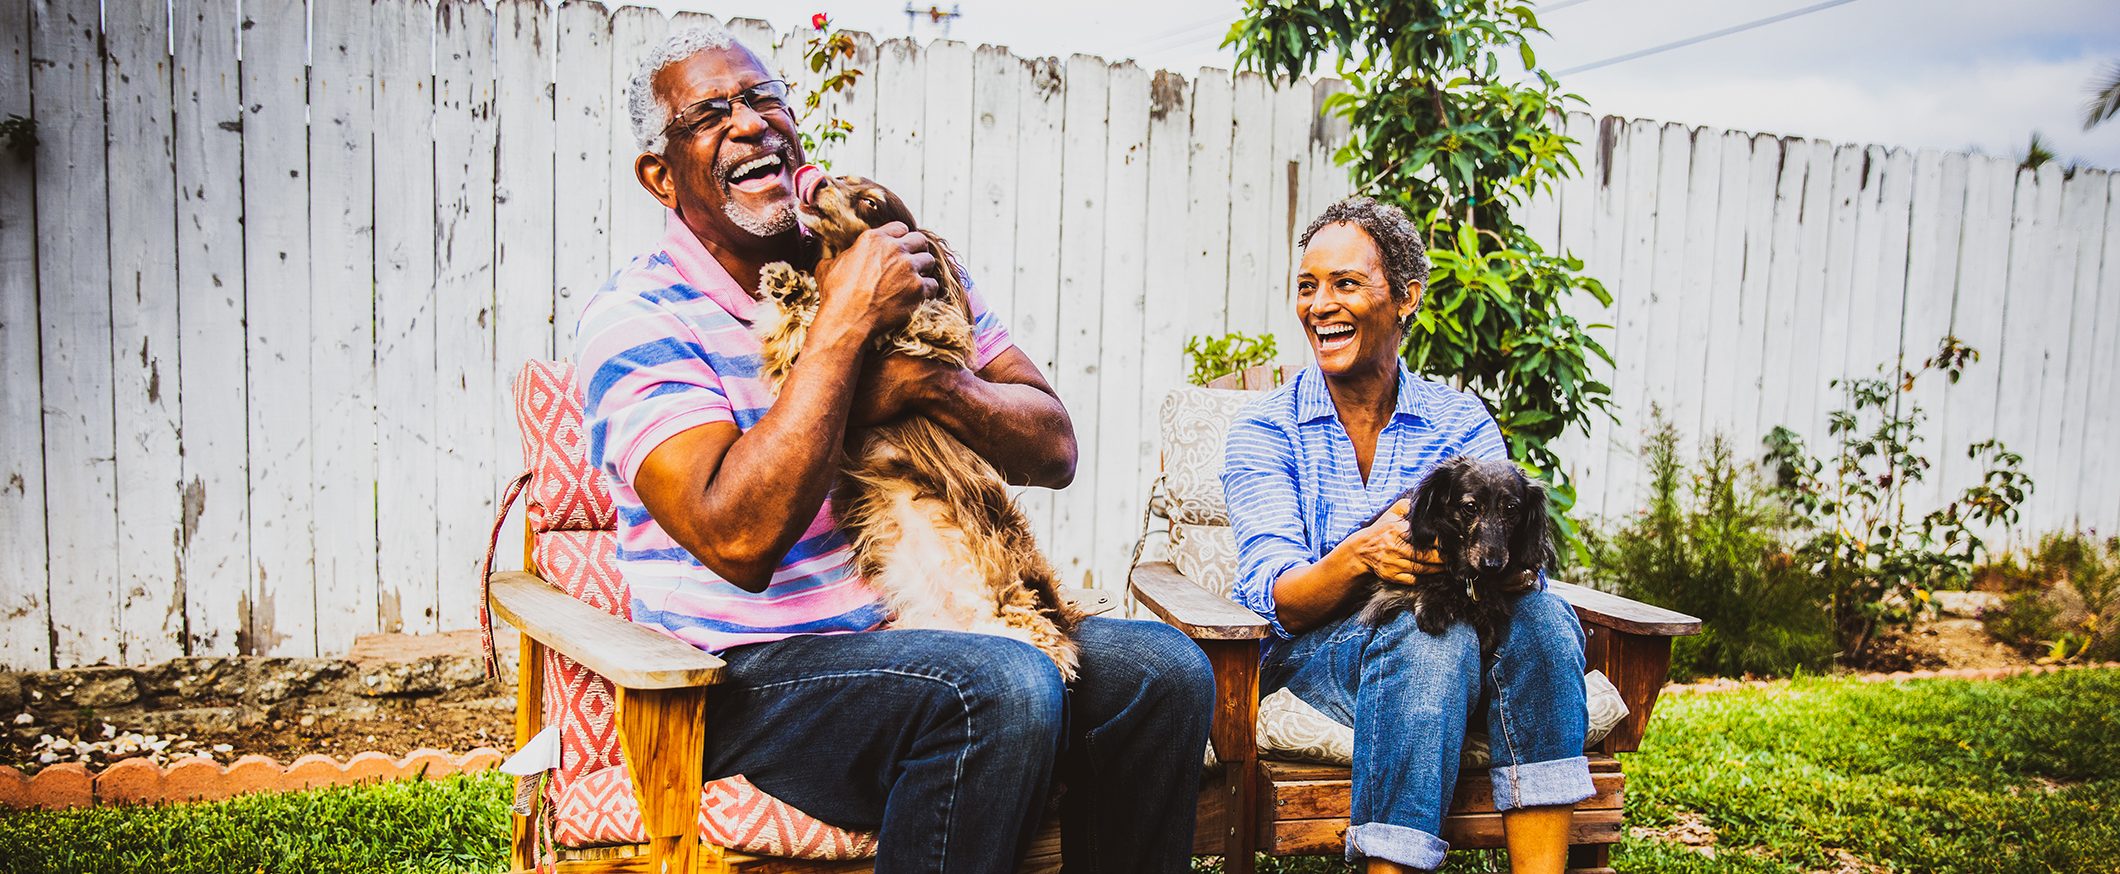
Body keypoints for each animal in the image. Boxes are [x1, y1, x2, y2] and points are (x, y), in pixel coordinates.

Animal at [754, 168, 1085, 674]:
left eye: (871, 203)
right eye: (842, 177)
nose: (819, 180)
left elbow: (921, 322)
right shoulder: (799, 367)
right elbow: (798, 332)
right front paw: (790, 286)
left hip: (1014, 590)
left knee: (1049, 641)